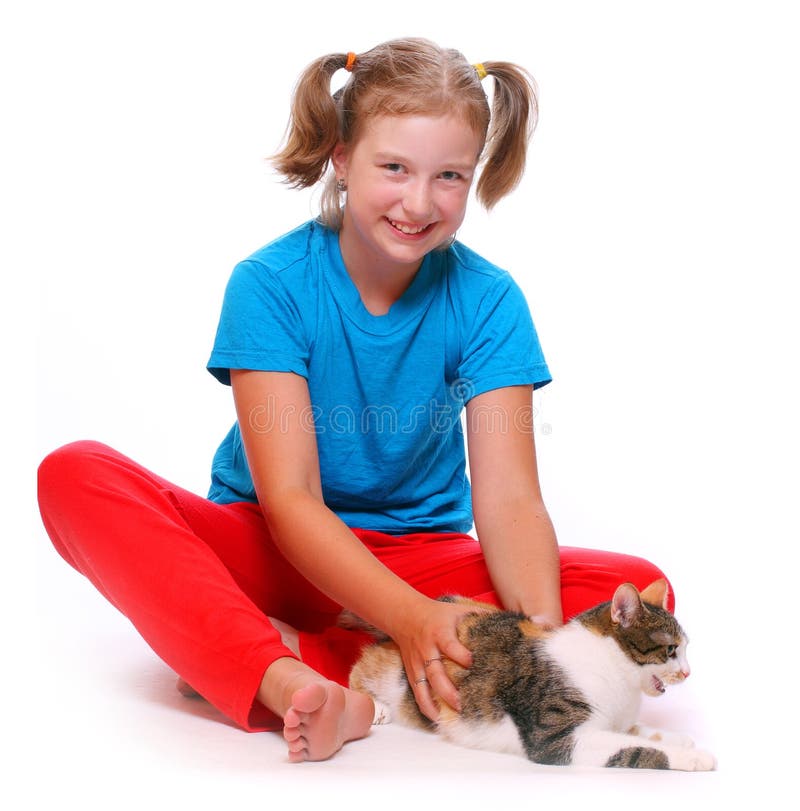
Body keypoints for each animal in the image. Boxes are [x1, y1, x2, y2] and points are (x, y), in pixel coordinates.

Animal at [346, 580, 716, 772]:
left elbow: (634, 731)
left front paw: (676, 738)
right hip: (392, 675)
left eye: (685, 649)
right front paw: (693, 756)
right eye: (671, 649)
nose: (687, 671)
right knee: (358, 669)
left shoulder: (614, 720)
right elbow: (632, 747)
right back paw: (374, 706)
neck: (619, 678)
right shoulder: (555, 738)